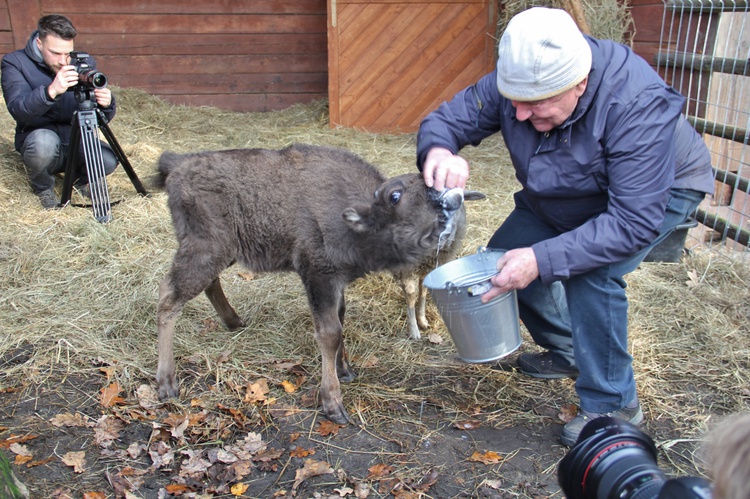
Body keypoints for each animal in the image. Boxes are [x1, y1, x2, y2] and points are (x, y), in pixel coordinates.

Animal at [158, 145, 472, 426]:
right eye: (396, 195)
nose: (444, 194)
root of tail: (177, 165)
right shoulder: (318, 275)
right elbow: (330, 332)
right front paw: (333, 403)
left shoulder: (337, 283)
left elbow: (340, 321)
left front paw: (345, 370)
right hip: (206, 249)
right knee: (168, 298)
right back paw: (167, 384)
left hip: (222, 252)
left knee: (207, 285)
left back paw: (234, 321)